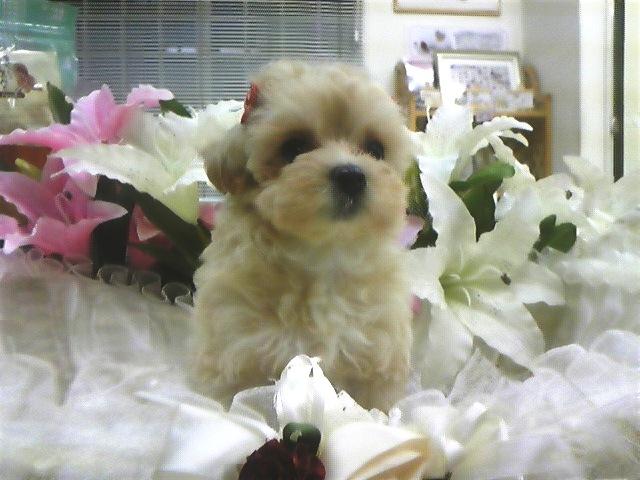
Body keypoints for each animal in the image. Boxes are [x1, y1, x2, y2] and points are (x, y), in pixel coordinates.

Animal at [193, 61, 414, 410]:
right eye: (294, 147)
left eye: (375, 149)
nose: (351, 176)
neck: (323, 254)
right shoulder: (236, 353)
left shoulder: (378, 358)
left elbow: (374, 408)